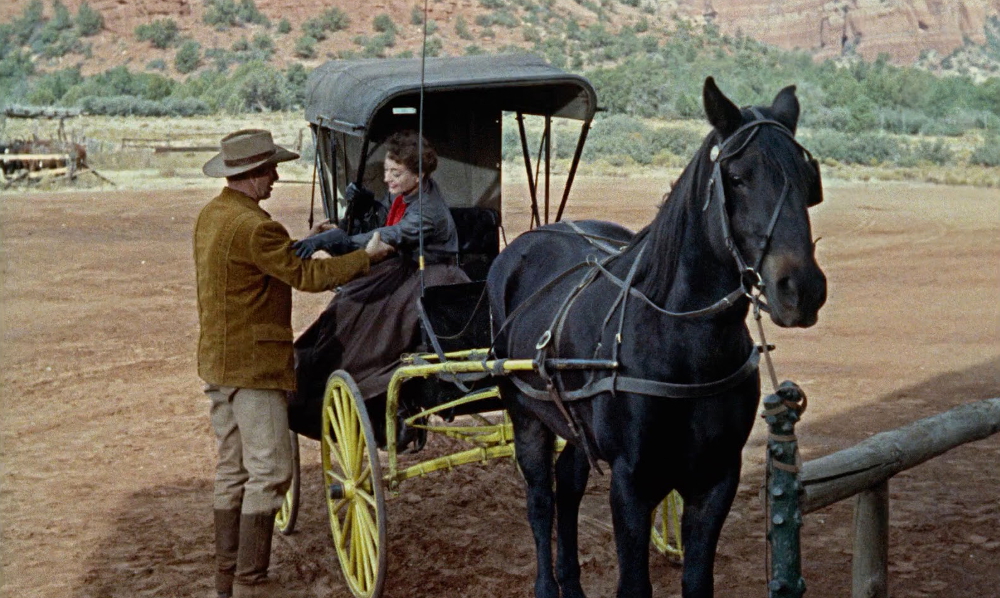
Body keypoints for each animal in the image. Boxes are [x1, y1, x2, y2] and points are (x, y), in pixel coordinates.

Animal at [486, 78, 828, 598]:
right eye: (737, 176)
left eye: (809, 181)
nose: (802, 288)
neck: (682, 344)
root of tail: (526, 242)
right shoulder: (631, 482)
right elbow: (634, 585)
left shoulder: (716, 478)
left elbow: (698, 582)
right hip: (526, 415)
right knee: (541, 501)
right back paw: (548, 583)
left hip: (574, 424)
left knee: (568, 486)